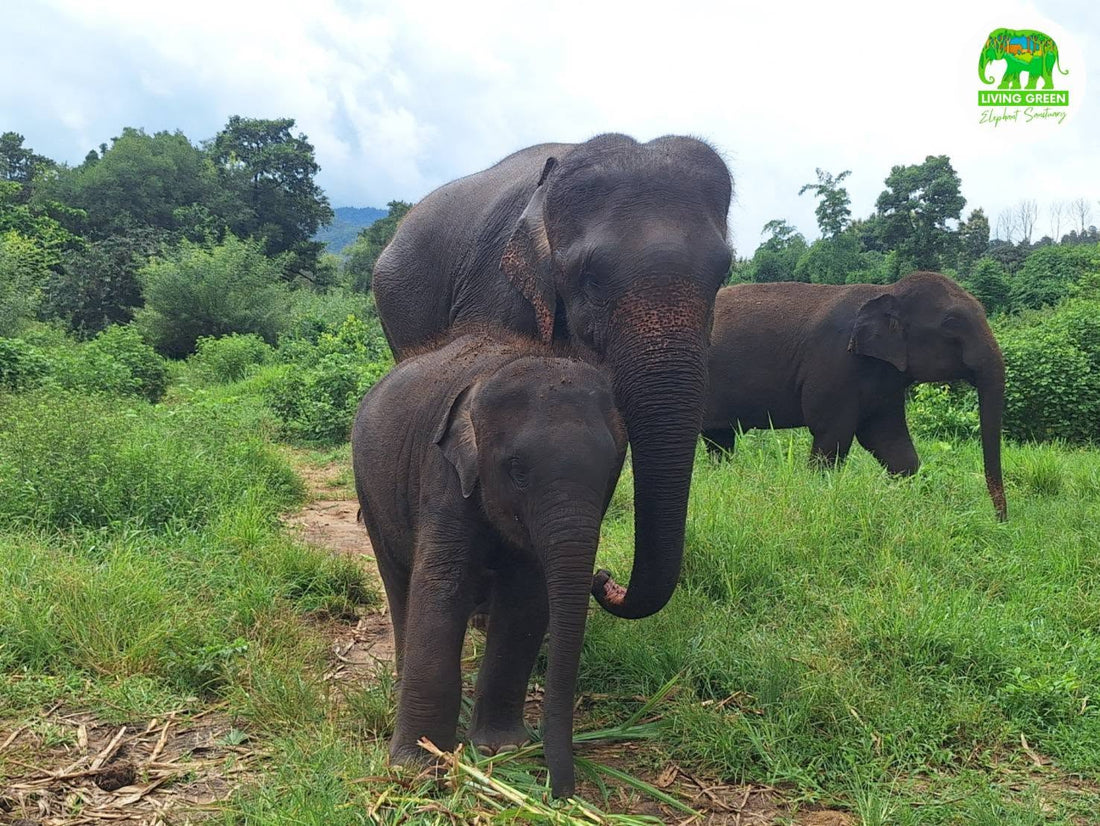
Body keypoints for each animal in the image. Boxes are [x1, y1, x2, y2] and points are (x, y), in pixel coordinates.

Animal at [351, 328, 628, 799]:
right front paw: (418, 767)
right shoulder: (444, 474)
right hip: (368, 488)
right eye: (517, 469)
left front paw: (502, 748)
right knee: (397, 580)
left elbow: (527, 600)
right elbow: (440, 588)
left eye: (613, 469)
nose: (561, 793)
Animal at [701, 272, 1007, 521]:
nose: (1001, 522)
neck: (886, 292)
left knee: (719, 440)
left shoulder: (884, 380)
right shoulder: (834, 363)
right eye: (951, 322)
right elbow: (831, 436)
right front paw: (819, 496)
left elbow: (890, 441)